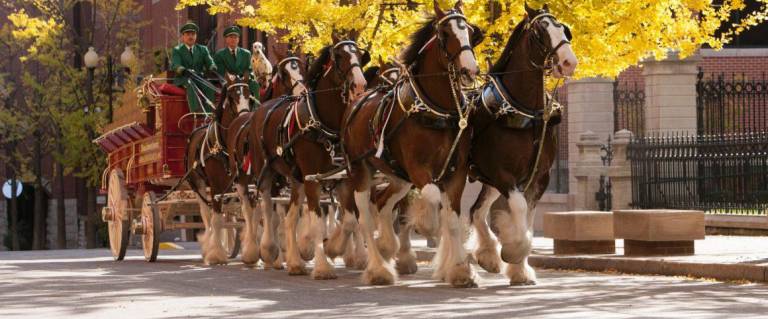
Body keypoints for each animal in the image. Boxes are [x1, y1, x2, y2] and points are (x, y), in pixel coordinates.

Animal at [183, 73, 252, 264]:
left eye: (249, 95)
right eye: (232, 97)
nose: (246, 117)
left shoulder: (238, 183)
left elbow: (242, 215)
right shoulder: (215, 186)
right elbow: (215, 221)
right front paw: (215, 254)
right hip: (198, 185)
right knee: (207, 215)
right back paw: (209, 246)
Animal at [224, 52, 308, 268]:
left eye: (303, 68)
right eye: (285, 74)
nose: (303, 91)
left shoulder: (285, 179)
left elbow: (282, 215)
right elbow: (269, 214)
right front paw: (271, 253)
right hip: (241, 179)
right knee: (248, 210)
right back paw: (251, 251)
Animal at [246, 31, 366, 278]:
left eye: (359, 54)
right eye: (339, 57)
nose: (360, 84)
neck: (323, 123)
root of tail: (262, 109)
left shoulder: (342, 179)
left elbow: (350, 220)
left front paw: (333, 248)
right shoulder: (312, 178)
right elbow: (317, 222)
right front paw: (322, 266)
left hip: (296, 179)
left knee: (290, 219)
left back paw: (294, 262)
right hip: (265, 172)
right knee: (266, 209)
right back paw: (267, 250)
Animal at [340, 0, 480, 288]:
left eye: (470, 32)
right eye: (445, 33)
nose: (470, 69)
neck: (437, 109)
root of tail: (356, 102)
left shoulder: (457, 171)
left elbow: (452, 219)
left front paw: (461, 270)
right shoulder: (418, 169)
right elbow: (434, 200)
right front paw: (427, 226)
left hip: (397, 176)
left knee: (381, 203)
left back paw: (387, 247)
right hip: (359, 171)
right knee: (365, 217)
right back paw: (378, 268)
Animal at [468, 4, 576, 284]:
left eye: (563, 29)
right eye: (540, 31)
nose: (569, 62)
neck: (525, 110)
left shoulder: (540, 176)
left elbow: (528, 217)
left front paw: (520, 269)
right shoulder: (502, 174)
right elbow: (518, 207)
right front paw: (513, 250)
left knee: (475, 211)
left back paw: (487, 255)